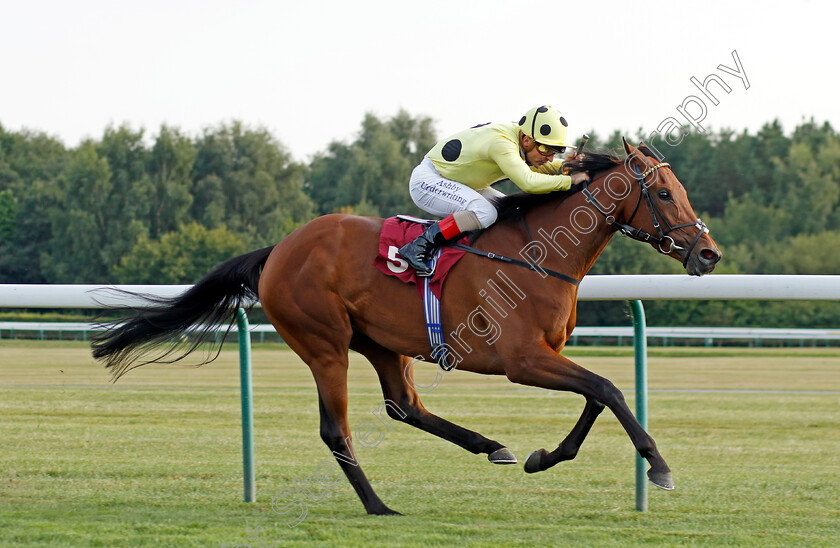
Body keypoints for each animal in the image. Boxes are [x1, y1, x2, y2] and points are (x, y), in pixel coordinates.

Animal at [92, 137, 720, 512]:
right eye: (665, 193)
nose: (707, 254)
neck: (539, 252)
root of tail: (279, 249)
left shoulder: (548, 354)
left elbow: (596, 394)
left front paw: (545, 456)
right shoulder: (521, 360)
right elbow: (608, 389)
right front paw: (660, 467)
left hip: (380, 342)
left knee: (405, 406)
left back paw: (490, 446)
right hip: (325, 344)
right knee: (337, 429)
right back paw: (377, 505)